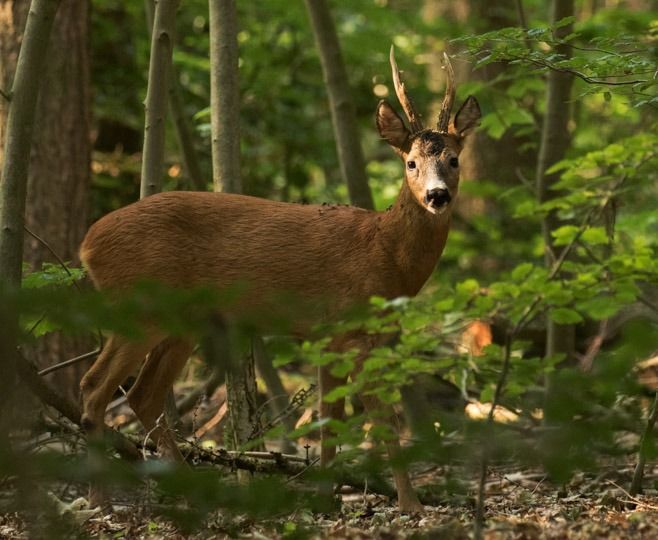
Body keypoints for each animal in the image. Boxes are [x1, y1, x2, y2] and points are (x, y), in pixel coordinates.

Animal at [78, 47, 481, 513]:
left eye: (453, 159)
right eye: (411, 162)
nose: (437, 195)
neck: (383, 255)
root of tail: (86, 246)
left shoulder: (331, 338)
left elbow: (330, 422)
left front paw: (327, 499)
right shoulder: (353, 331)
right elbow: (382, 420)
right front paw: (411, 505)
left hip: (182, 319)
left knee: (142, 393)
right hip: (142, 307)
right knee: (96, 386)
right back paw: (100, 500)